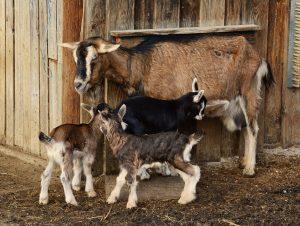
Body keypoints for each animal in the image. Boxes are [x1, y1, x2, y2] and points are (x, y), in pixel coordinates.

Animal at [61, 35, 274, 177]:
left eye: (94, 58)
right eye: (76, 58)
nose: (78, 84)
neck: (142, 64)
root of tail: (257, 55)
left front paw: (165, 169)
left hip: (249, 91)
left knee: (253, 128)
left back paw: (250, 168)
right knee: (246, 126)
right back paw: (244, 162)